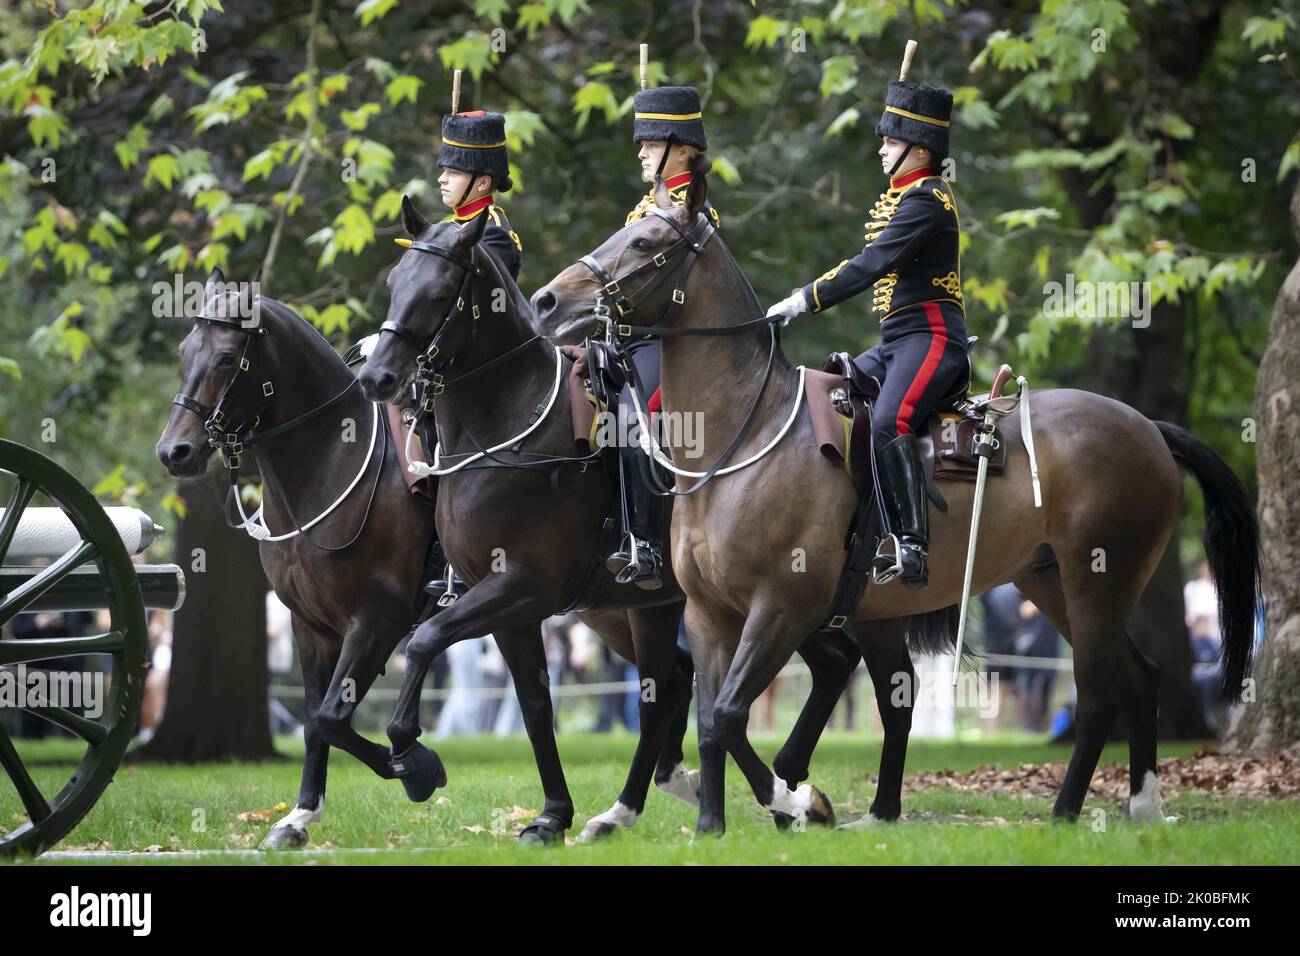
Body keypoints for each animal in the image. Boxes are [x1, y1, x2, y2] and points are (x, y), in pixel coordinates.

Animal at [154, 267, 434, 842]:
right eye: (184, 351)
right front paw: (300, 814)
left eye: (226, 359)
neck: (330, 464)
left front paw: (416, 768)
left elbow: (332, 717)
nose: (175, 452)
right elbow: (315, 720)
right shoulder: (311, 626)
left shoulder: (376, 621)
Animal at [356, 197, 863, 842]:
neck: (505, 425)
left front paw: (414, 759)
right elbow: (534, 705)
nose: (377, 378)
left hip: (768, 598)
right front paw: (552, 814)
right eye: (395, 283)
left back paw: (788, 791)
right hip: (660, 607)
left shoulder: (521, 588)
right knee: (679, 686)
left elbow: (422, 642)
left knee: (818, 664)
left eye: (441, 290)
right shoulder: (506, 604)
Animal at [527, 167, 1258, 832]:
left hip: (1096, 581)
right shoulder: (710, 614)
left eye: (646, 241)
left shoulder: (783, 607)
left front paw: (799, 802)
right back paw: (1141, 805)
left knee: (1101, 691)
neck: (743, 438)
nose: (545, 301)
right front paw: (714, 825)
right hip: (1048, 581)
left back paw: (1065, 812)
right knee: (1138, 676)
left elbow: (732, 715)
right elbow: (712, 721)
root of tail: (1148, 428)